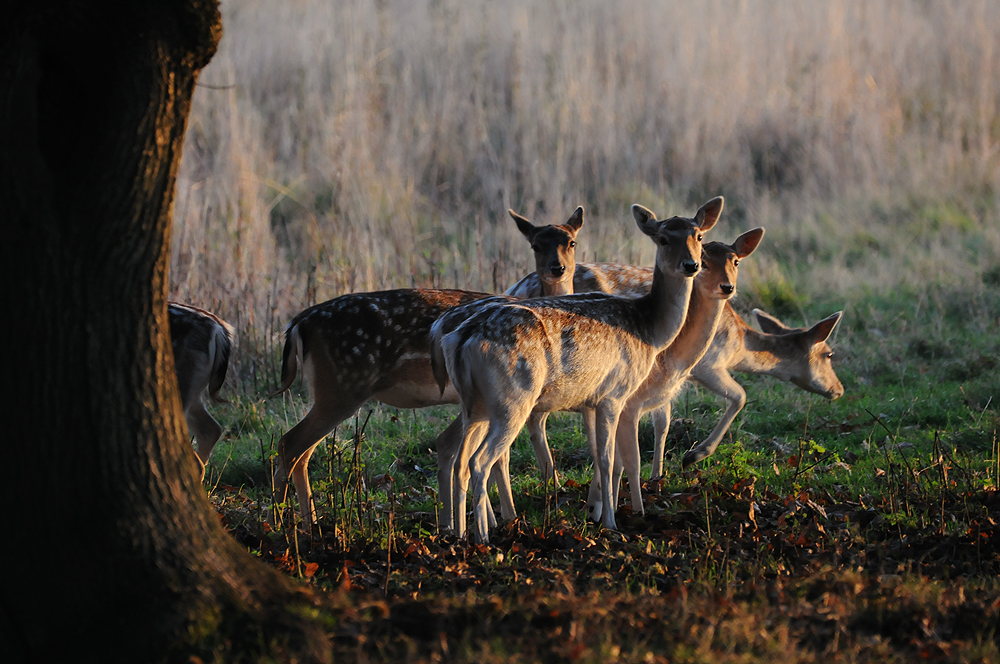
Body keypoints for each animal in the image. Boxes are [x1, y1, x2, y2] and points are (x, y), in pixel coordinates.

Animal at [269, 207, 584, 527]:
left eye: (571, 242)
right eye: (536, 245)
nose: (557, 268)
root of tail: (297, 325)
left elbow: (491, 456)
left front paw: (493, 520)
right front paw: (504, 519)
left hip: (329, 390)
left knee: (302, 452)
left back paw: (305, 521)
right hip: (342, 385)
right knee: (289, 444)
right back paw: (282, 522)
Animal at [433, 197, 723, 542]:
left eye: (699, 236)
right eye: (663, 239)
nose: (691, 265)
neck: (648, 329)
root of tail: (459, 336)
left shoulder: (591, 401)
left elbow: (600, 457)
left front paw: (597, 514)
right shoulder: (614, 393)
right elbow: (610, 459)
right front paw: (612, 523)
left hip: (475, 405)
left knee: (461, 458)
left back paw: (461, 534)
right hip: (512, 400)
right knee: (480, 461)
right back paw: (484, 536)